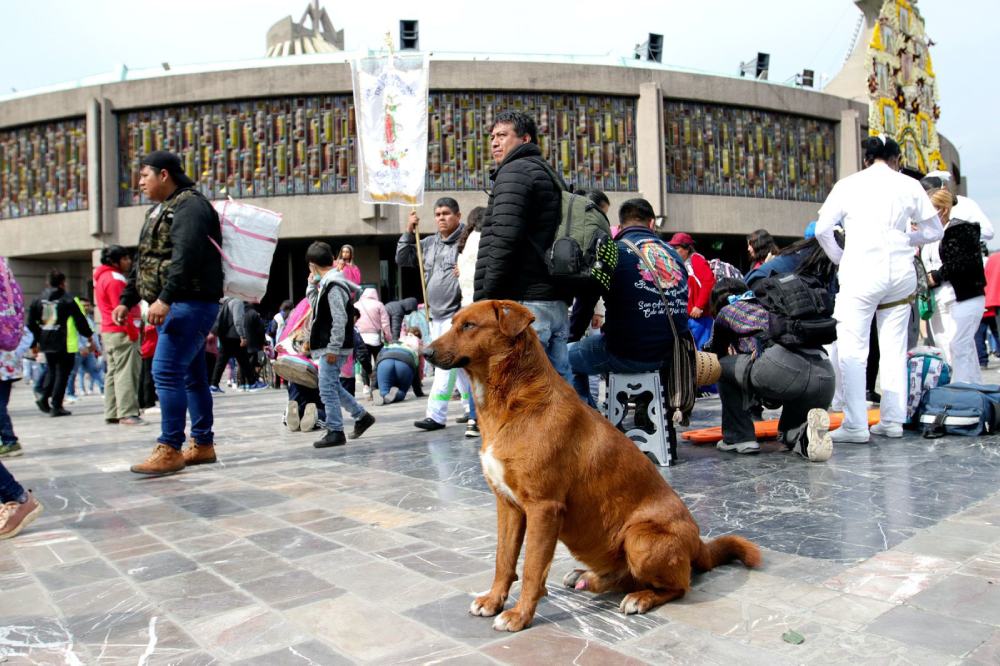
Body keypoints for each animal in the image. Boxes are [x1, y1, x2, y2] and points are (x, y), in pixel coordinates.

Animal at [422, 298, 756, 632]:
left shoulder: (544, 508)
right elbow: (503, 560)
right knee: (626, 577)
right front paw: (493, 600)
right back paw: (588, 578)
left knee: (678, 585)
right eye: (453, 323)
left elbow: (531, 568)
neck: (513, 403)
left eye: (469, 326)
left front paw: (520, 615)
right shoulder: (508, 505)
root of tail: (699, 544)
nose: (425, 353)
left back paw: (640, 598)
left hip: (639, 538)